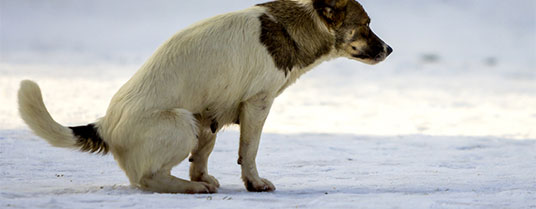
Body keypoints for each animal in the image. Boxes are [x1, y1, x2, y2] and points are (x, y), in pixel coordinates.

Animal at [18, 0, 392, 193]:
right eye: (366, 24)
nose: (389, 49)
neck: (294, 26)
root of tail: (105, 125)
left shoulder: (224, 113)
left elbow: (214, 155)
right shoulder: (258, 103)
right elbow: (249, 151)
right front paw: (254, 183)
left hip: (200, 120)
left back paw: (198, 182)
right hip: (182, 122)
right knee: (147, 178)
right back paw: (190, 189)